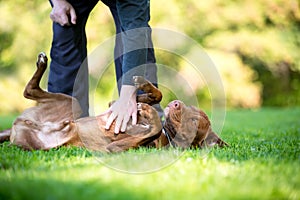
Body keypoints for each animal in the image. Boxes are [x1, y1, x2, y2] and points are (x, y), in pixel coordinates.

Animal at [0, 52, 227, 152]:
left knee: (28, 92)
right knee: (29, 90)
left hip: (42, 142)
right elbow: (157, 95)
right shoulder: (114, 105)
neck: (167, 134)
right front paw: (143, 86)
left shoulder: (117, 150)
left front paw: (149, 113)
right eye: (191, 107)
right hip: (71, 103)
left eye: (194, 122)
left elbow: (151, 128)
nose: (178, 103)